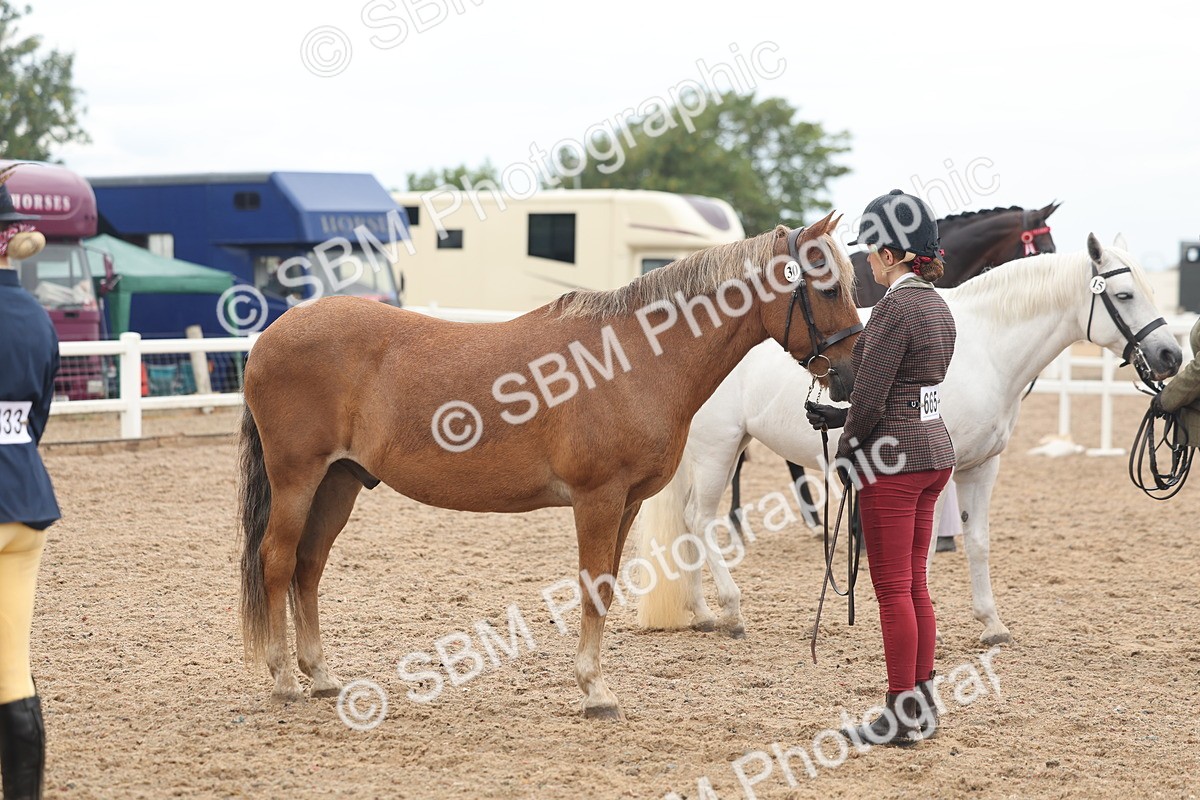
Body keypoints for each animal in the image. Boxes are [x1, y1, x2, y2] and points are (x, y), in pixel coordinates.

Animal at [237, 214, 865, 720]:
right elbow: (592, 587)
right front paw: (595, 692)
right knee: (277, 561)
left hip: (339, 482)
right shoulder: (597, 498)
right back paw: (285, 681)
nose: (852, 373)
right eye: (830, 286)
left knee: (308, 567)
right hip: (298, 478)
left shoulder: (627, 502)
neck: (630, 358)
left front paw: (595, 685)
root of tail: (270, 336)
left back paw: (321, 677)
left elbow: (606, 586)